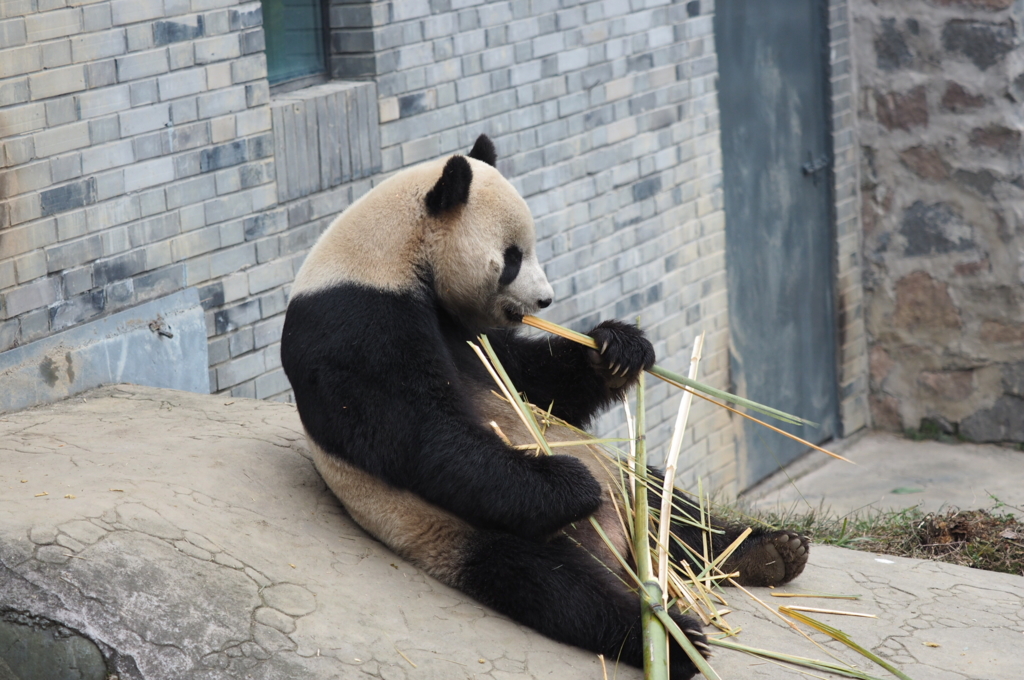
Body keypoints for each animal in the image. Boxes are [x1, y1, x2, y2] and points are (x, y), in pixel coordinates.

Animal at [282, 134, 806, 680]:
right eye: (512, 258)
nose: (545, 300)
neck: (386, 255)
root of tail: (619, 550)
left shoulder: (465, 330)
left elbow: (529, 379)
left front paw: (617, 348)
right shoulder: (357, 323)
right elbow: (423, 434)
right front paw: (571, 483)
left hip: (624, 486)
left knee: (668, 507)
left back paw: (766, 552)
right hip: (467, 530)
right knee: (557, 585)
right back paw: (670, 638)